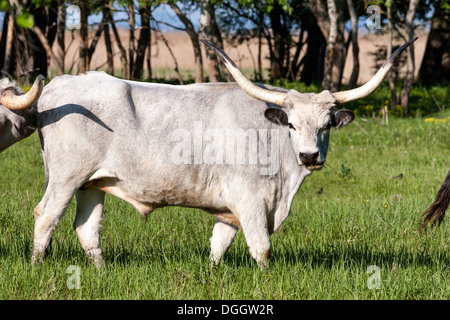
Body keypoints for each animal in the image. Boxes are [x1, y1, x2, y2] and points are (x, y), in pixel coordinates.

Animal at [0, 38, 416, 268]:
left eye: (327, 124)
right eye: (292, 125)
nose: (310, 156)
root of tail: (60, 85)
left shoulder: (231, 208)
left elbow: (219, 246)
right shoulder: (249, 199)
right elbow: (262, 249)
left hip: (92, 183)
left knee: (87, 230)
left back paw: (102, 272)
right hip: (65, 177)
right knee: (46, 217)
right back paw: (38, 265)